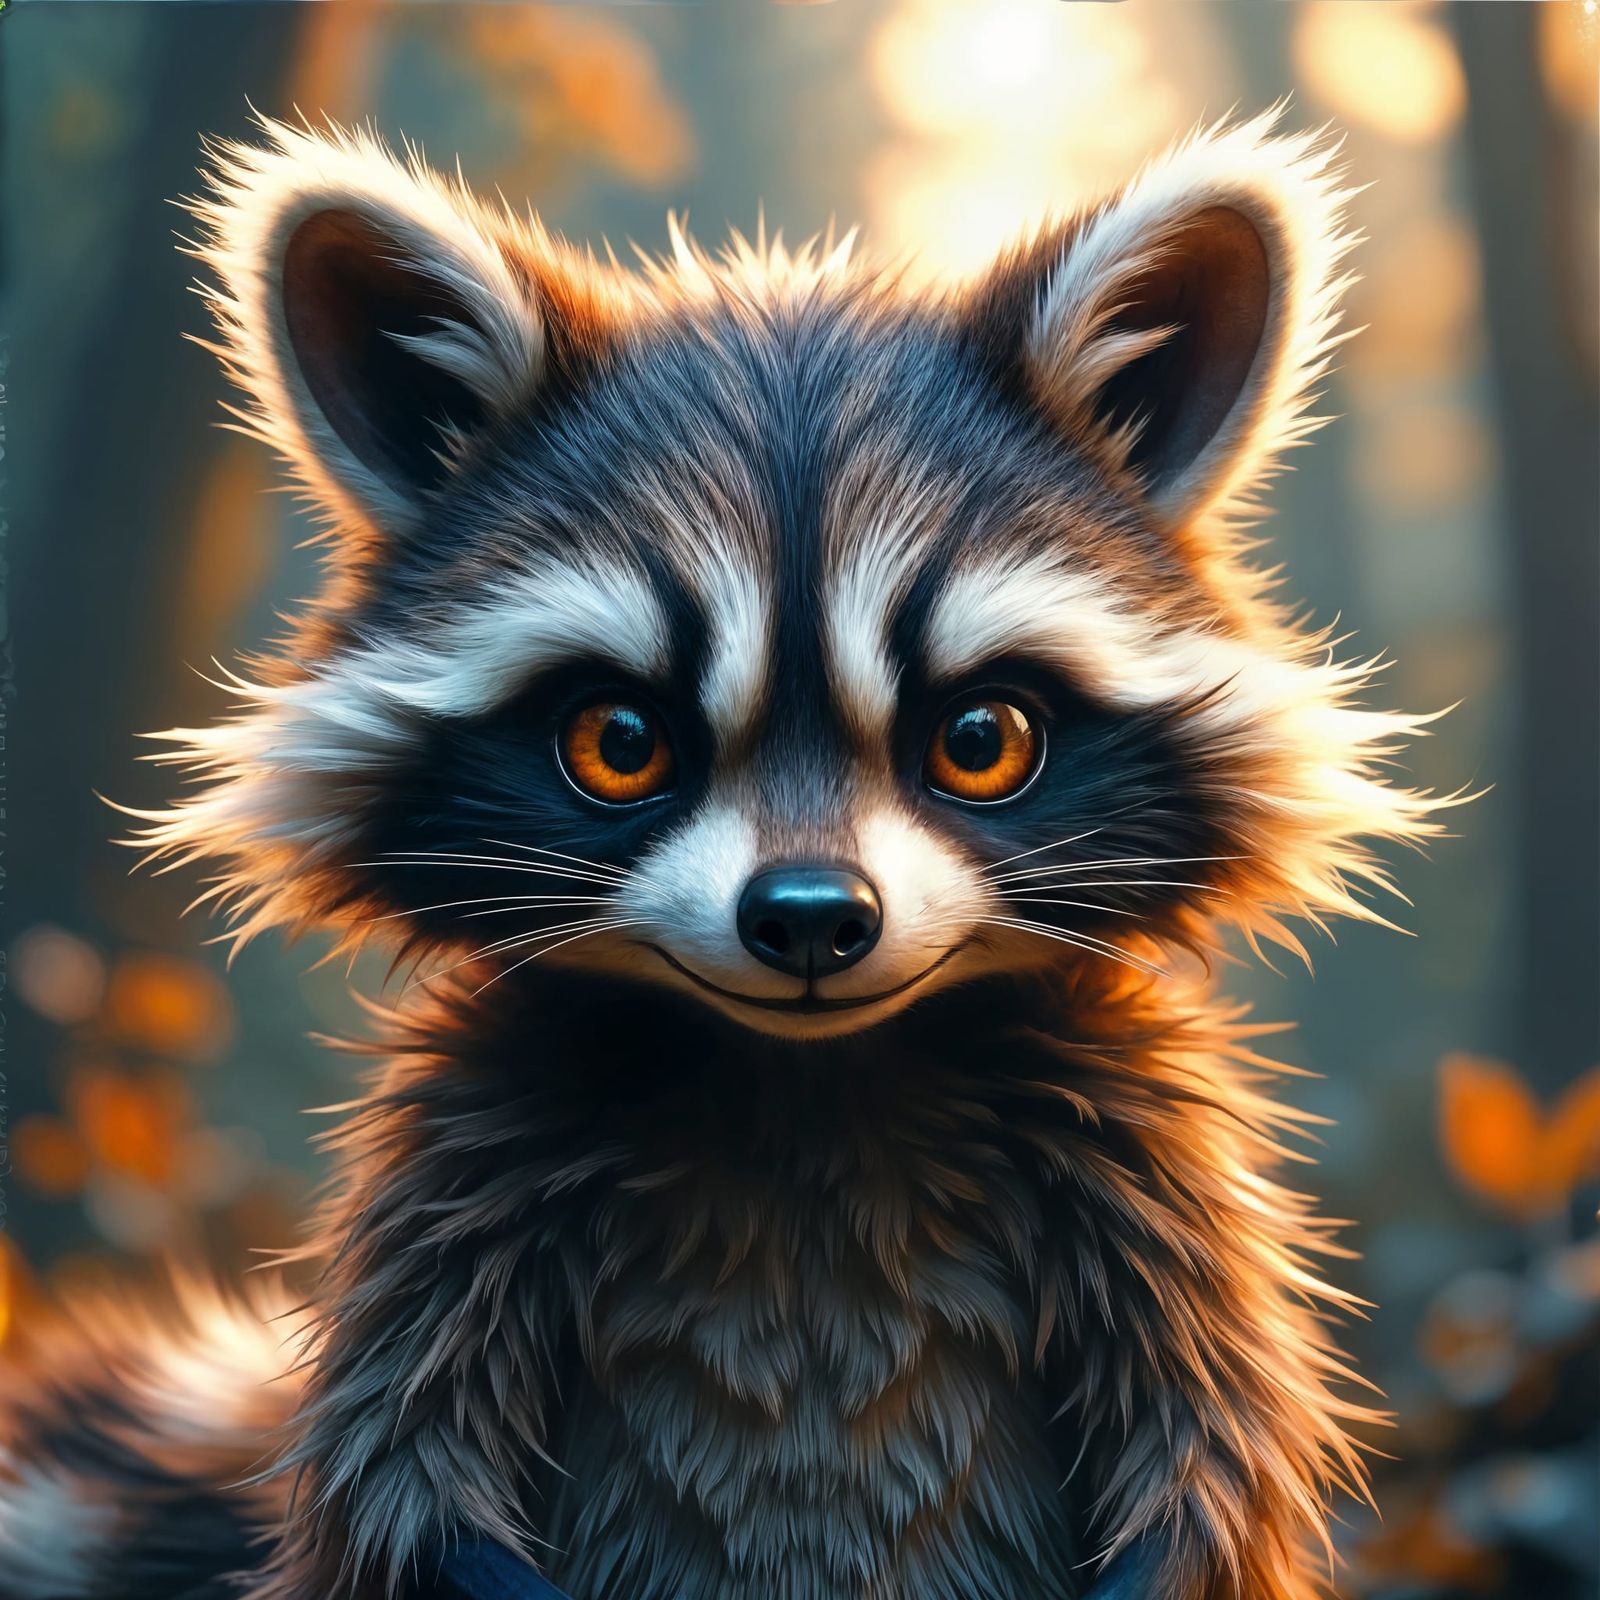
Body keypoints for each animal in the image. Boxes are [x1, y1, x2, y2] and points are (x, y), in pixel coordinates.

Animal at [0, 113, 1449, 1600]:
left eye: (979, 739)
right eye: (621, 741)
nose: (810, 917)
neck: (805, 1079)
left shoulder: (1138, 1164)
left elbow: (1211, 1461)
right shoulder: (466, 1168)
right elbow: (400, 1477)